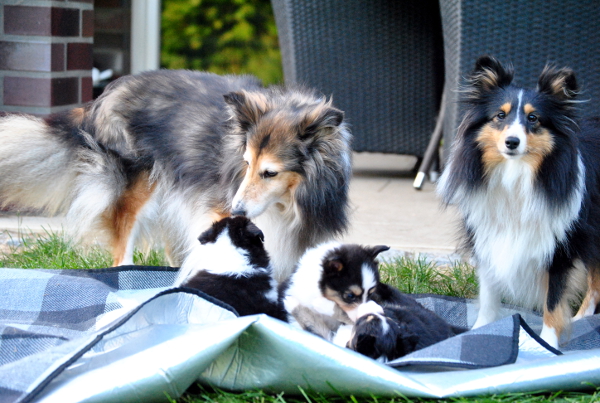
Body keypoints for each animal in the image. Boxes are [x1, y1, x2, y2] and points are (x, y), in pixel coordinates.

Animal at [0, 71, 354, 280]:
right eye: (246, 163)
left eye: (269, 173)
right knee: (122, 240)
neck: (287, 203)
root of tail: (100, 99)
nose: (236, 209)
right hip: (138, 187)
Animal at [436, 55, 600, 348]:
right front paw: (479, 330)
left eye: (533, 118)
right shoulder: (488, 234)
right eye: (499, 116)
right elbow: (489, 293)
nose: (512, 142)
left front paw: (548, 345)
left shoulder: (561, 247)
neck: (517, 175)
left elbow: (553, 302)